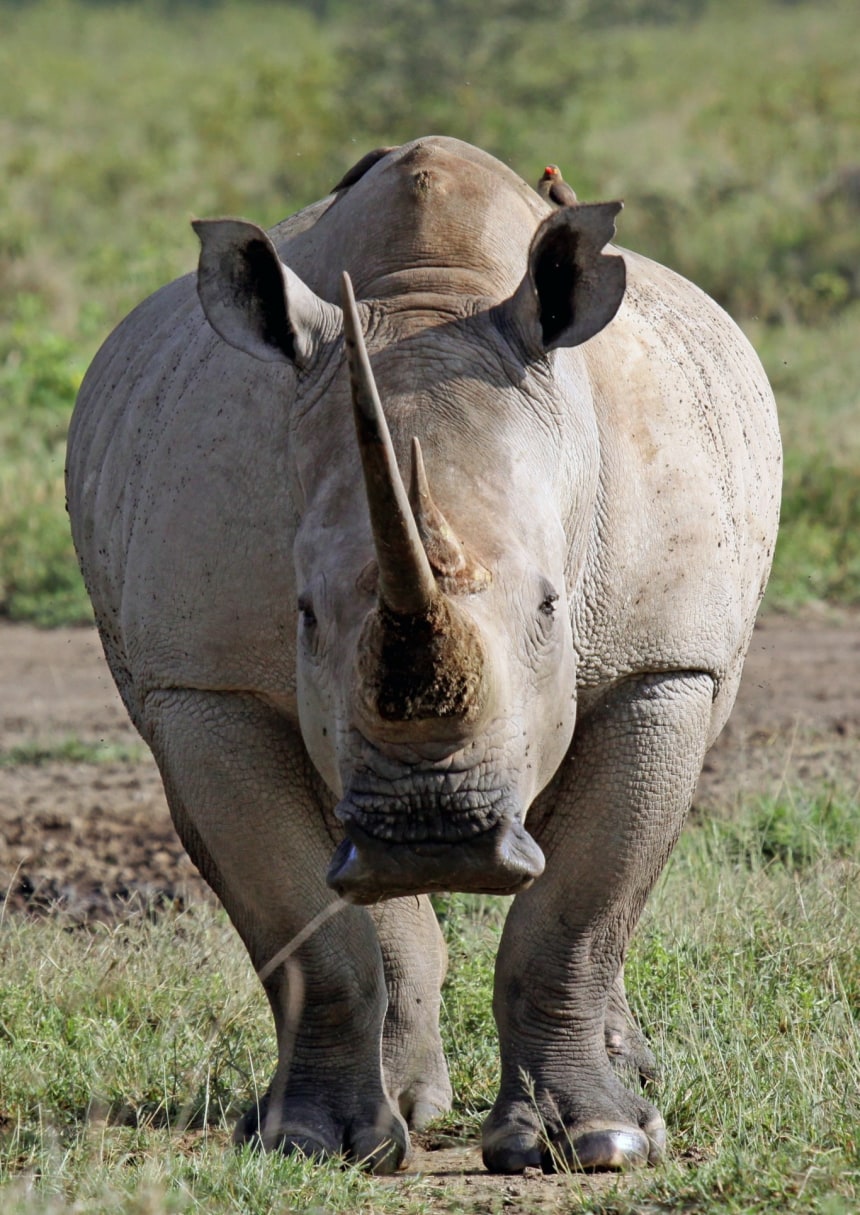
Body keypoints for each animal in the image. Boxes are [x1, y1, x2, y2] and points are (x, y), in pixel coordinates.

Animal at [66, 136, 781, 1174]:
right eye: (304, 615)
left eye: (552, 606)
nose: (432, 834)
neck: (427, 300)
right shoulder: (202, 684)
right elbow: (307, 924)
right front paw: (313, 1142)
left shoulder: (665, 663)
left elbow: (578, 908)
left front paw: (593, 1143)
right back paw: (398, 1104)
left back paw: (628, 1081)